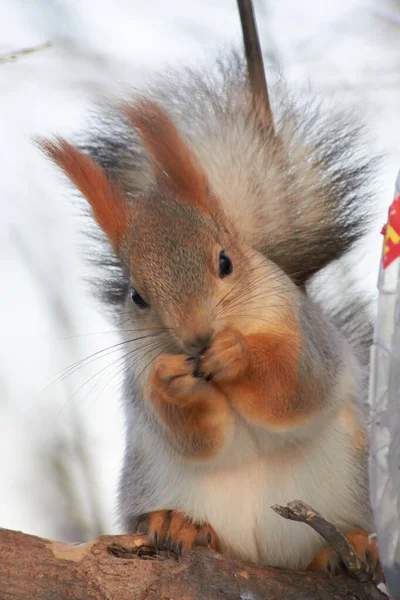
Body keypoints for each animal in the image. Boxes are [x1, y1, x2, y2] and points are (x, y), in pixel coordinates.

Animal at [40, 49, 382, 576]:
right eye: (137, 295)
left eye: (226, 261)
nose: (199, 338)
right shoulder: (138, 373)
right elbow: (195, 436)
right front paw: (174, 382)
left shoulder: (306, 335)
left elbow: (295, 388)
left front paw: (237, 353)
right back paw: (182, 525)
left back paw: (352, 544)